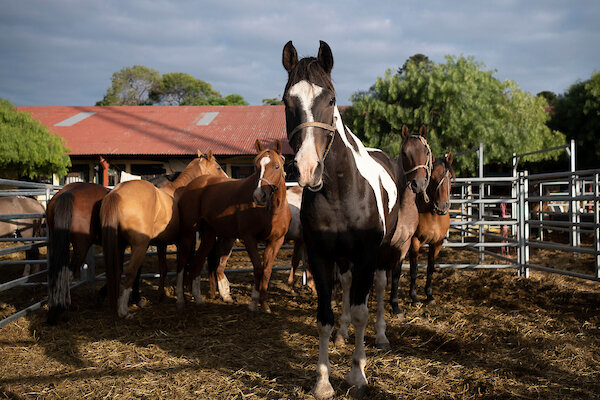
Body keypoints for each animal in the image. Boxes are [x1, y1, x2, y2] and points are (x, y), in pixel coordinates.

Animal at [102, 152, 226, 318]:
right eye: (218, 167)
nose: (226, 180)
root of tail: (116, 192)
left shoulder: (161, 243)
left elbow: (164, 268)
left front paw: (162, 296)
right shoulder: (184, 240)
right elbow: (184, 265)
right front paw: (182, 296)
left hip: (120, 246)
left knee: (118, 271)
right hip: (139, 246)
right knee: (130, 272)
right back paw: (124, 311)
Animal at [176, 140, 290, 312]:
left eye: (276, 166)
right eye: (256, 167)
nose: (259, 196)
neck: (271, 210)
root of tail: (191, 185)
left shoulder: (276, 241)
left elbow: (267, 271)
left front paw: (265, 305)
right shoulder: (249, 239)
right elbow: (258, 269)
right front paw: (253, 303)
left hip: (209, 235)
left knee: (198, 261)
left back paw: (198, 299)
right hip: (188, 233)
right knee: (182, 262)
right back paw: (181, 299)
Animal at [282, 39, 404, 396]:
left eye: (331, 99)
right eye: (287, 100)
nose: (307, 168)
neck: (339, 189)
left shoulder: (365, 254)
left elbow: (362, 311)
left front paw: (357, 374)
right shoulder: (321, 256)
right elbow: (324, 316)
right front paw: (322, 381)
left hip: (381, 253)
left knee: (378, 288)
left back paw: (381, 335)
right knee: (348, 287)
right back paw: (343, 333)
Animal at [408, 152, 454, 304]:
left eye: (449, 177)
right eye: (432, 178)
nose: (442, 206)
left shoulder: (437, 243)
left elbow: (430, 268)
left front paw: (429, 295)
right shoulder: (415, 242)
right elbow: (414, 269)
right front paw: (414, 297)